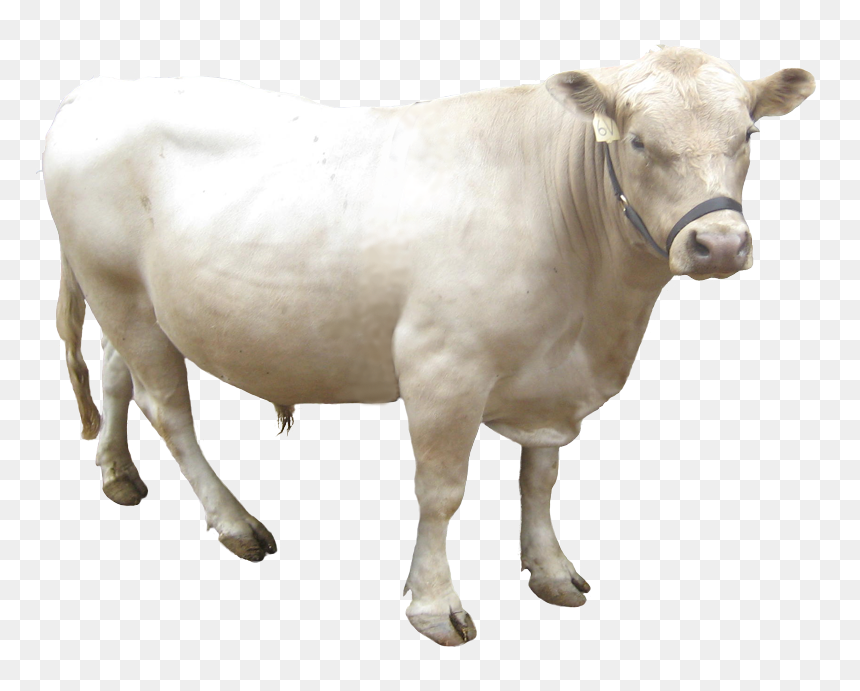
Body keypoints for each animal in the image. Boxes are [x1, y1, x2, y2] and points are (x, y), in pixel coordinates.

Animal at [43, 47, 814, 646]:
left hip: (133, 299)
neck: (593, 318)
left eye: (748, 133)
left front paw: (551, 568)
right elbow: (441, 492)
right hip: (118, 288)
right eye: (638, 142)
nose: (720, 243)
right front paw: (435, 604)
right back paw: (236, 522)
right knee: (168, 407)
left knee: (116, 375)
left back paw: (117, 473)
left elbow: (539, 479)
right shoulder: (443, 367)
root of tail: (95, 91)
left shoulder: (549, 375)